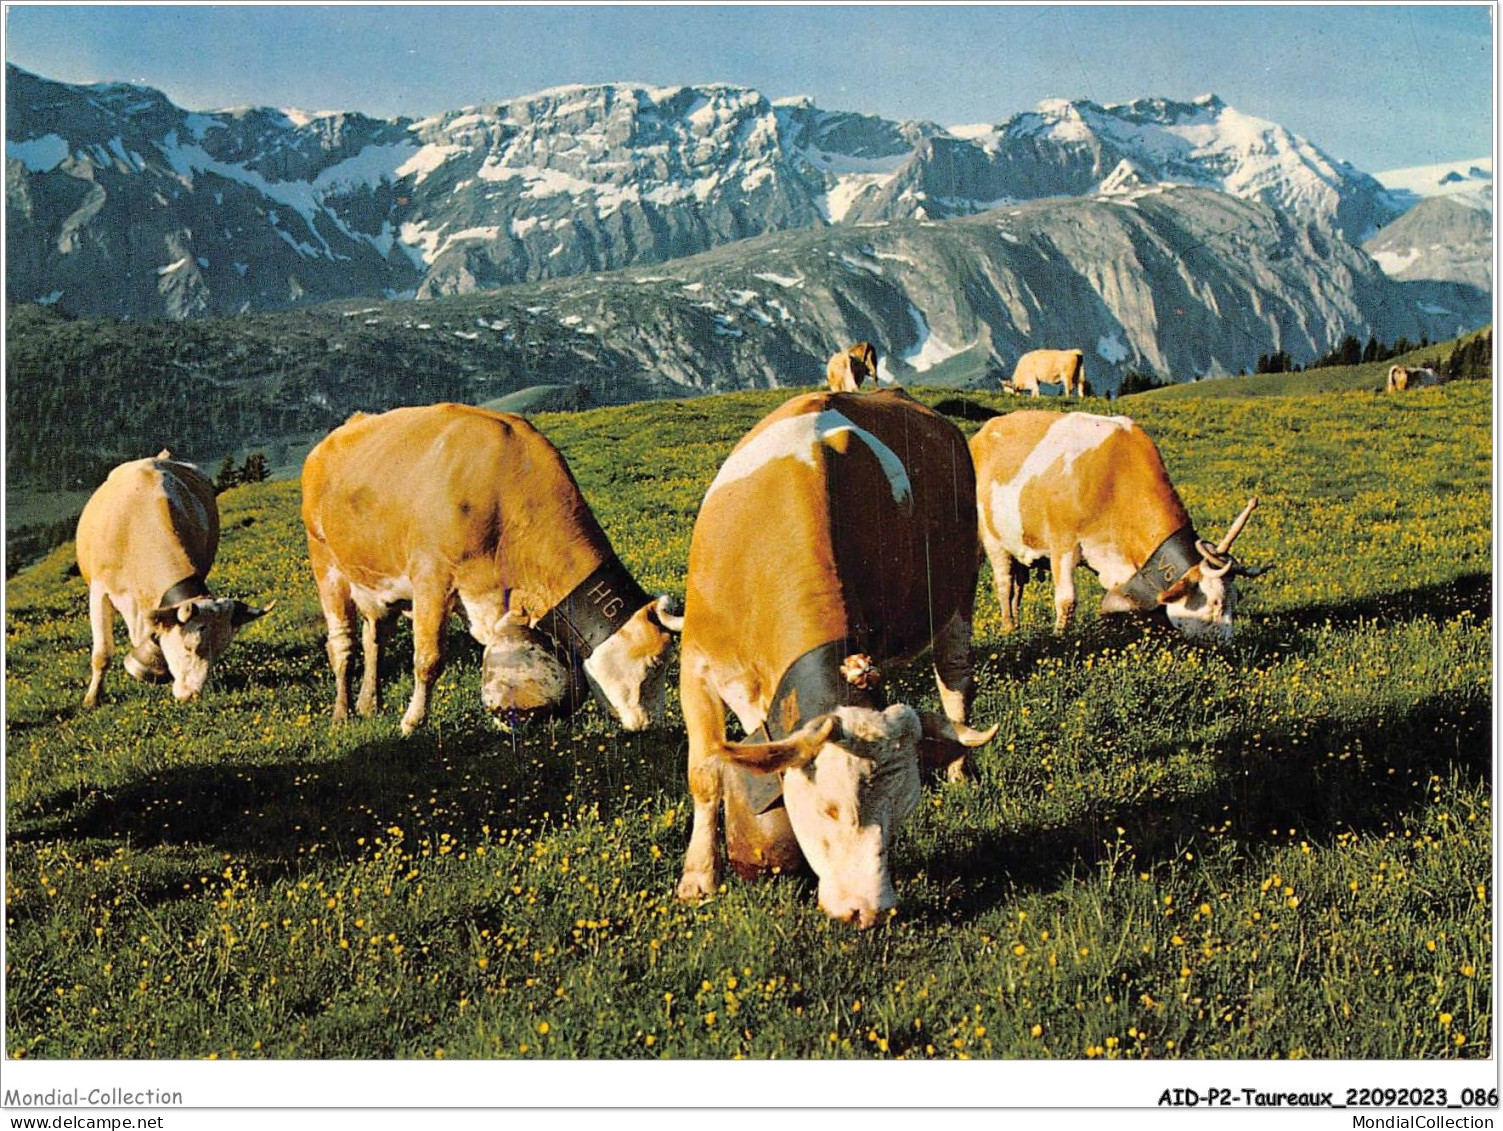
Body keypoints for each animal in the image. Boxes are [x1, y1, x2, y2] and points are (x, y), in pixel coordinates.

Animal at [76, 451, 272, 706]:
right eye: (189, 647)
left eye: (219, 650)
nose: (193, 695)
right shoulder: (100, 590)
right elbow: (102, 654)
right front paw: (92, 699)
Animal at [297, 403, 682, 733]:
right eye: (654, 664)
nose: (651, 725)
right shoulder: (431, 578)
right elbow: (428, 658)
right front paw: (412, 722)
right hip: (326, 564)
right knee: (342, 644)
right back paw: (343, 712)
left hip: (377, 582)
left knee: (374, 637)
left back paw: (369, 704)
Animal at [676, 388, 991, 926]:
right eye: (828, 808)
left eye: (901, 813)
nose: (869, 912)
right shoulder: (695, 662)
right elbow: (705, 774)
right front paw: (698, 877)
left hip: (960, 590)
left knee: (954, 681)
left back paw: (959, 766)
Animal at [973, 412, 1268, 643]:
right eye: (1216, 602)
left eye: (1237, 599)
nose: (1228, 646)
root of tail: (985, 431)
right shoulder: (1063, 544)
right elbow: (1067, 600)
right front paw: (1060, 638)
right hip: (991, 538)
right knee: (1004, 582)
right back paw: (1009, 627)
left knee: (1017, 583)